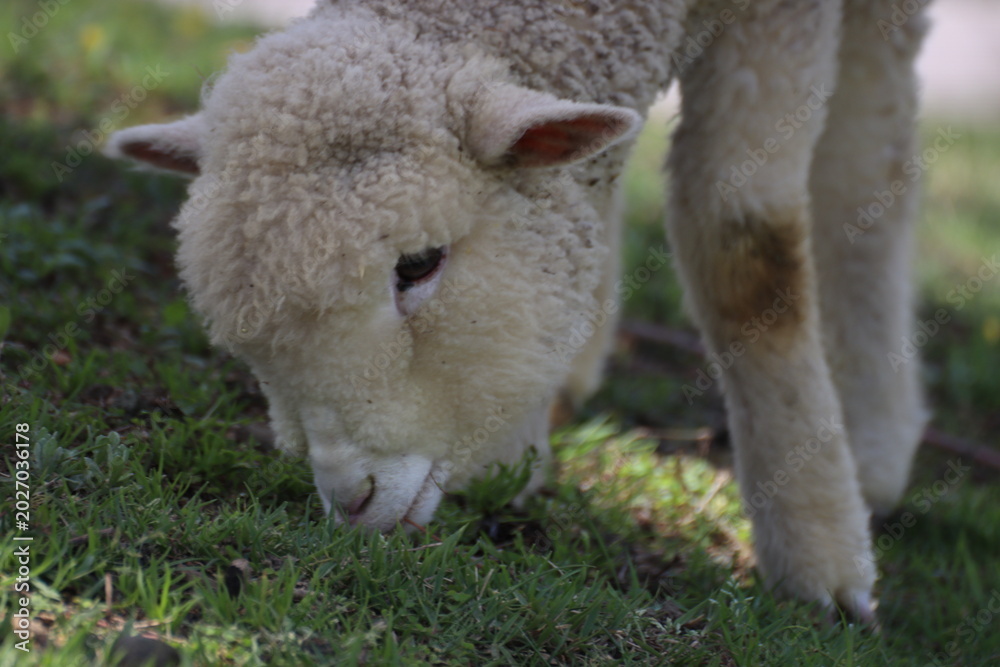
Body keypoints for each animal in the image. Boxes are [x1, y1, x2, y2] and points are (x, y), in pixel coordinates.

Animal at [105, 0, 929, 623]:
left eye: (418, 263)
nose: (352, 502)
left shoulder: (781, 16)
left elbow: (747, 250)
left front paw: (818, 557)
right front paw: (518, 448)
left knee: (873, 149)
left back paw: (876, 447)